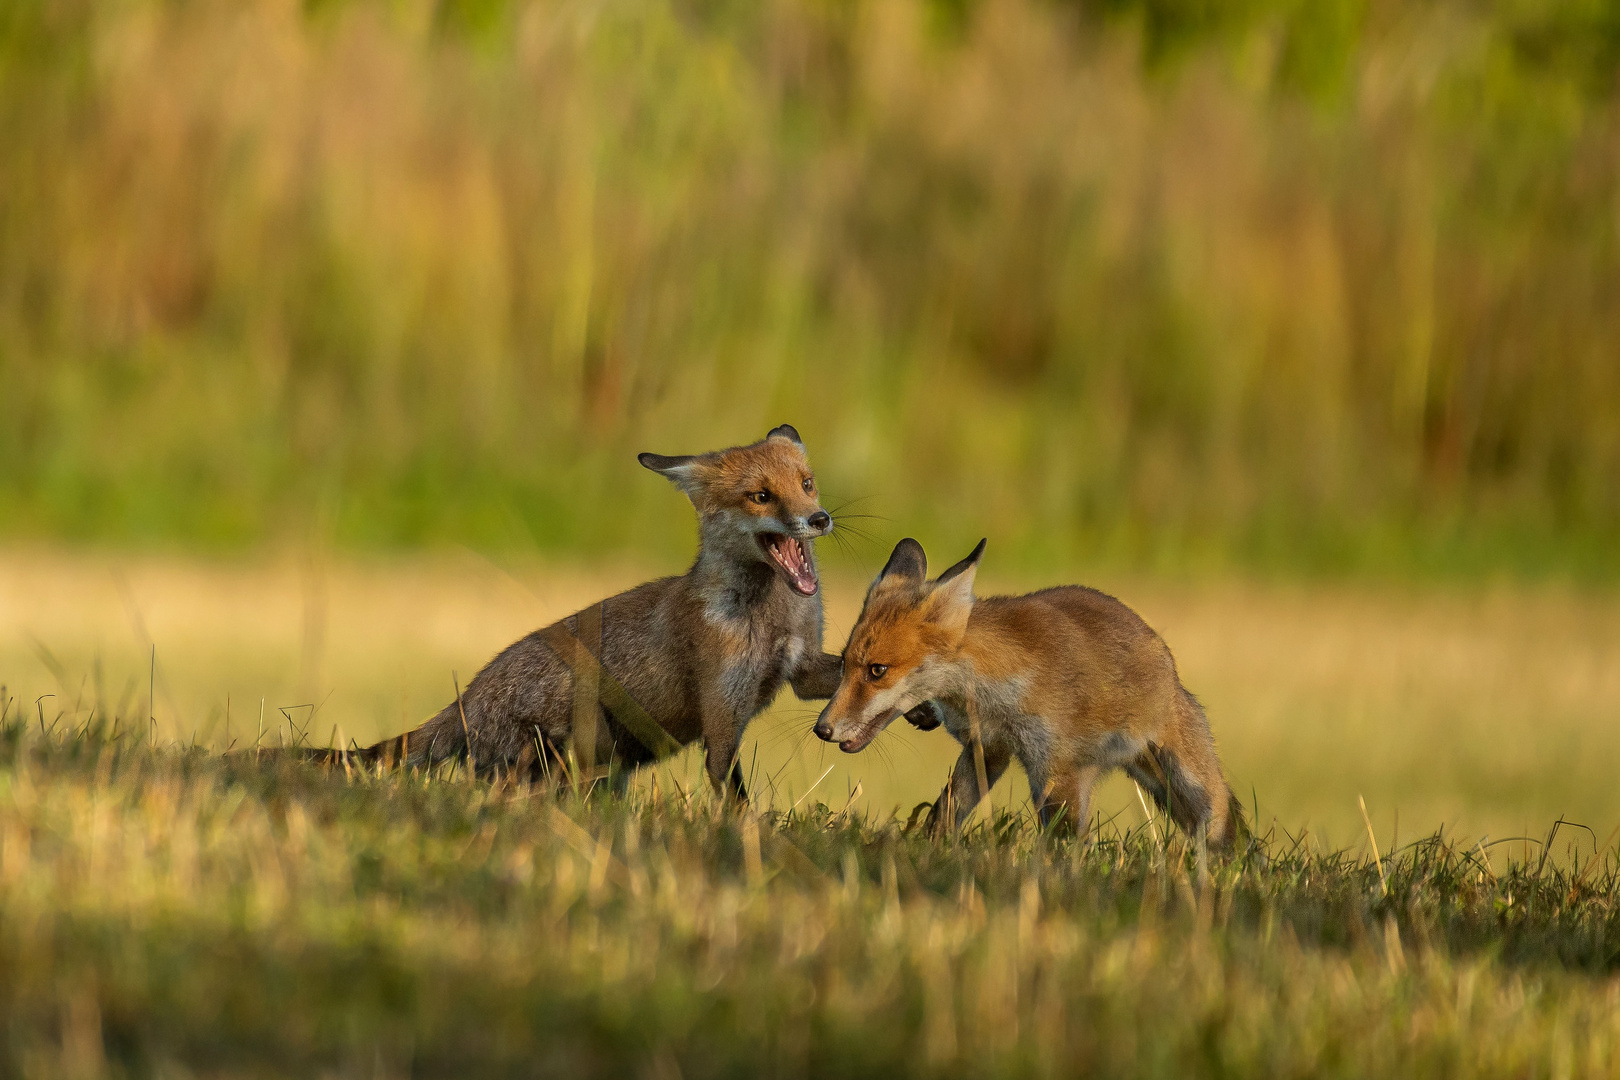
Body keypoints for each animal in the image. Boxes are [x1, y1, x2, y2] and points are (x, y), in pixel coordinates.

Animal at [816, 537, 1244, 841]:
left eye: (877, 671)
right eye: (844, 664)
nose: (822, 729)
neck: (992, 698)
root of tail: (1167, 663)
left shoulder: (1056, 769)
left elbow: (1060, 844)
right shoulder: (986, 750)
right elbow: (944, 813)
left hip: (1192, 785)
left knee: (1223, 827)